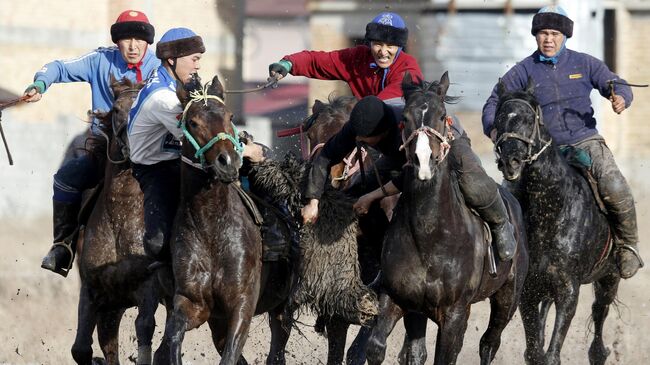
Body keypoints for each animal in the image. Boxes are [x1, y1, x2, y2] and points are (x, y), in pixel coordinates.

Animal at [71, 77, 172, 364]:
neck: (121, 213)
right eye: (116, 109)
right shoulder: (93, 289)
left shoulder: (148, 286)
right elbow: (81, 348)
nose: (132, 141)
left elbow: (144, 327)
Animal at [362, 72, 528, 364]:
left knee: (489, 343)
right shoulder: (398, 299)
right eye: (405, 117)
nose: (423, 161)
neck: (430, 235)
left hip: (508, 298)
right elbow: (377, 347)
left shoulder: (455, 314)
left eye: (442, 115)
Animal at [492, 77, 616, 364]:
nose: (511, 161)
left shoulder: (568, 290)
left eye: (529, 118)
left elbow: (551, 353)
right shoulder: (528, 290)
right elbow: (534, 350)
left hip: (609, 278)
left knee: (600, 312)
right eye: (499, 118)